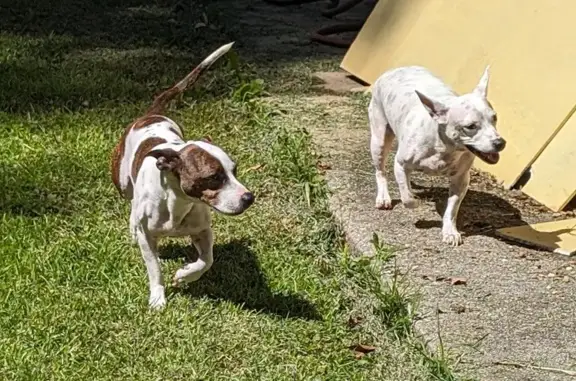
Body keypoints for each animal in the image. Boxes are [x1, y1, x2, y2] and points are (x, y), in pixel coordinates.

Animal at [110, 42, 254, 308]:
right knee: (131, 201)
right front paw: (158, 298)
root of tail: (151, 113)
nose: (249, 197)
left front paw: (185, 274)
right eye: (214, 177)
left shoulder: (202, 231)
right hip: (122, 182)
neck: (178, 202)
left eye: (234, 170)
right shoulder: (148, 238)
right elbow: (154, 268)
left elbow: (207, 260)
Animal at [372, 65, 506, 245]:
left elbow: (452, 209)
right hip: (379, 140)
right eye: (470, 126)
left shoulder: (461, 180)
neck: (445, 147)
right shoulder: (400, 164)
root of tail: (395, 70)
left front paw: (450, 232)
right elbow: (407, 197)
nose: (500, 143)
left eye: (495, 118)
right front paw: (415, 202)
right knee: (380, 172)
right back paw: (383, 197)